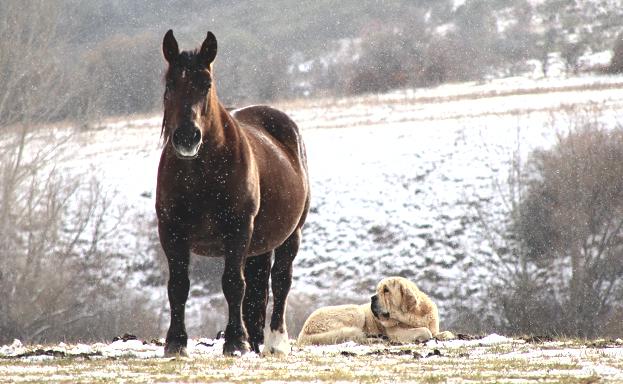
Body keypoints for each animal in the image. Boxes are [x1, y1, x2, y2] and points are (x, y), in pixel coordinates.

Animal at [157, 30, 310, 356]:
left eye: (206, 83)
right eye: (170, 83)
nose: (187, 137)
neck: (201, 173)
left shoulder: (237, 229)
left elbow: (233, 283)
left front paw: (235, 341)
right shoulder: (171, 230)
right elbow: (178, 285)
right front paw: (175, 342)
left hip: (291, 234)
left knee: (280, 281)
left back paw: (275, 341)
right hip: (259, 244)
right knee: (258, 287)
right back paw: (256, 340)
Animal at [298, 276, 454, 344]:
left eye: (386, 290)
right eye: (378, 290)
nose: (372, 297)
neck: (414, 314)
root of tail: (303, 331)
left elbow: (446, 332)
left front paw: (444, 336)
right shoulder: (396, 333)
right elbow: (426, 331)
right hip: (356, 311)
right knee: (354, 337)